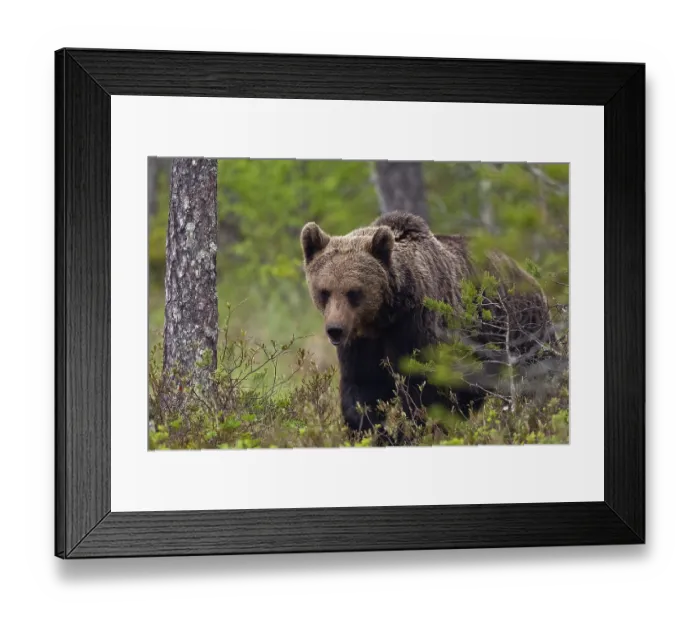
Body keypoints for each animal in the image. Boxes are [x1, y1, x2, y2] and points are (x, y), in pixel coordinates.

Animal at [300, 211, 558, 437]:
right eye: (324, 291)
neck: (385, 317)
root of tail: (528, 275)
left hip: (521, 331)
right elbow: (362, 388)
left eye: (353, 292)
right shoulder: (361, 344)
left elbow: (423, 392)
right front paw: (375, 431)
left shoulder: (418, 329)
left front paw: (410, 431)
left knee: (537, 379)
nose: (335, 330)